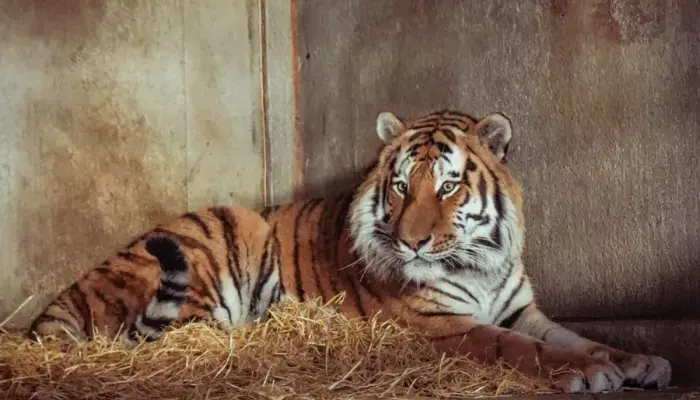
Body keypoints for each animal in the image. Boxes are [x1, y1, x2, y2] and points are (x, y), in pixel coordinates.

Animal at [27, 109, 671, 394]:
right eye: (401, 185)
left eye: (448, 186)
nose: (412, 241)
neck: (479, 265)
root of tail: (64, 297)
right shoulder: (444, 326)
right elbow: (519, 349)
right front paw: (591, 374)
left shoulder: (522, 310)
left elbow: (577, 337)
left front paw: (639, 361)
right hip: (212, 249)